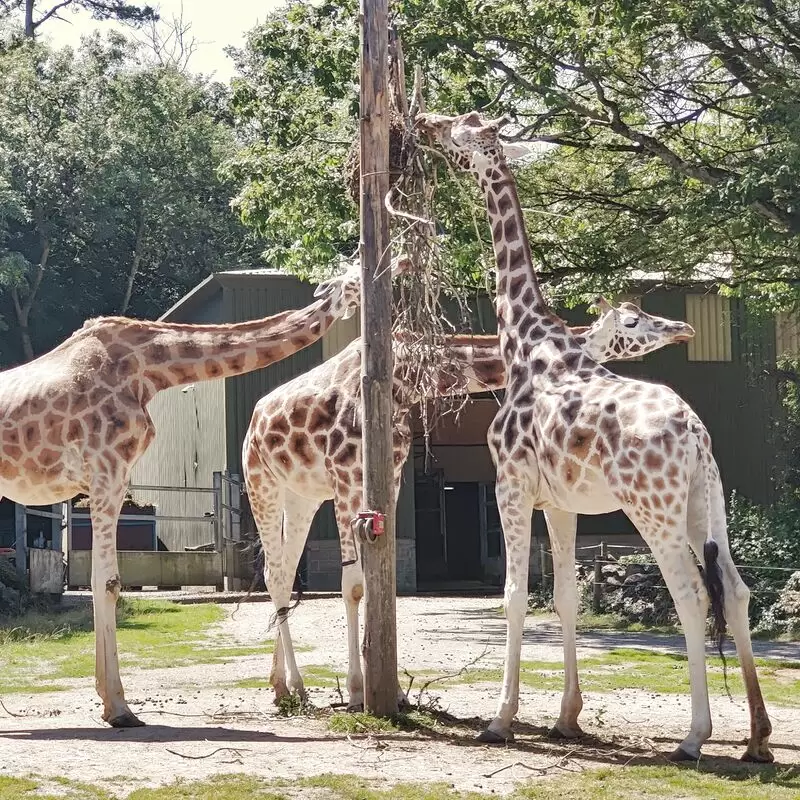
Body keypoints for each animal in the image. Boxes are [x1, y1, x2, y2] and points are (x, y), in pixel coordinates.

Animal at [418, 108, 776, 764]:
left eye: (465, 131)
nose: (430, 125)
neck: (524, 342)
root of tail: (696, 433)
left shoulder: (510, 484)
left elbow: (512, 594)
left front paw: (500, 721)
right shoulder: (560, 503)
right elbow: (565, 596)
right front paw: (566, 718)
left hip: (651, 508)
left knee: (690, 593)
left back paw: (694, 737)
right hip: (703, 502)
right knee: (736, 591)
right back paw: (758, 738)